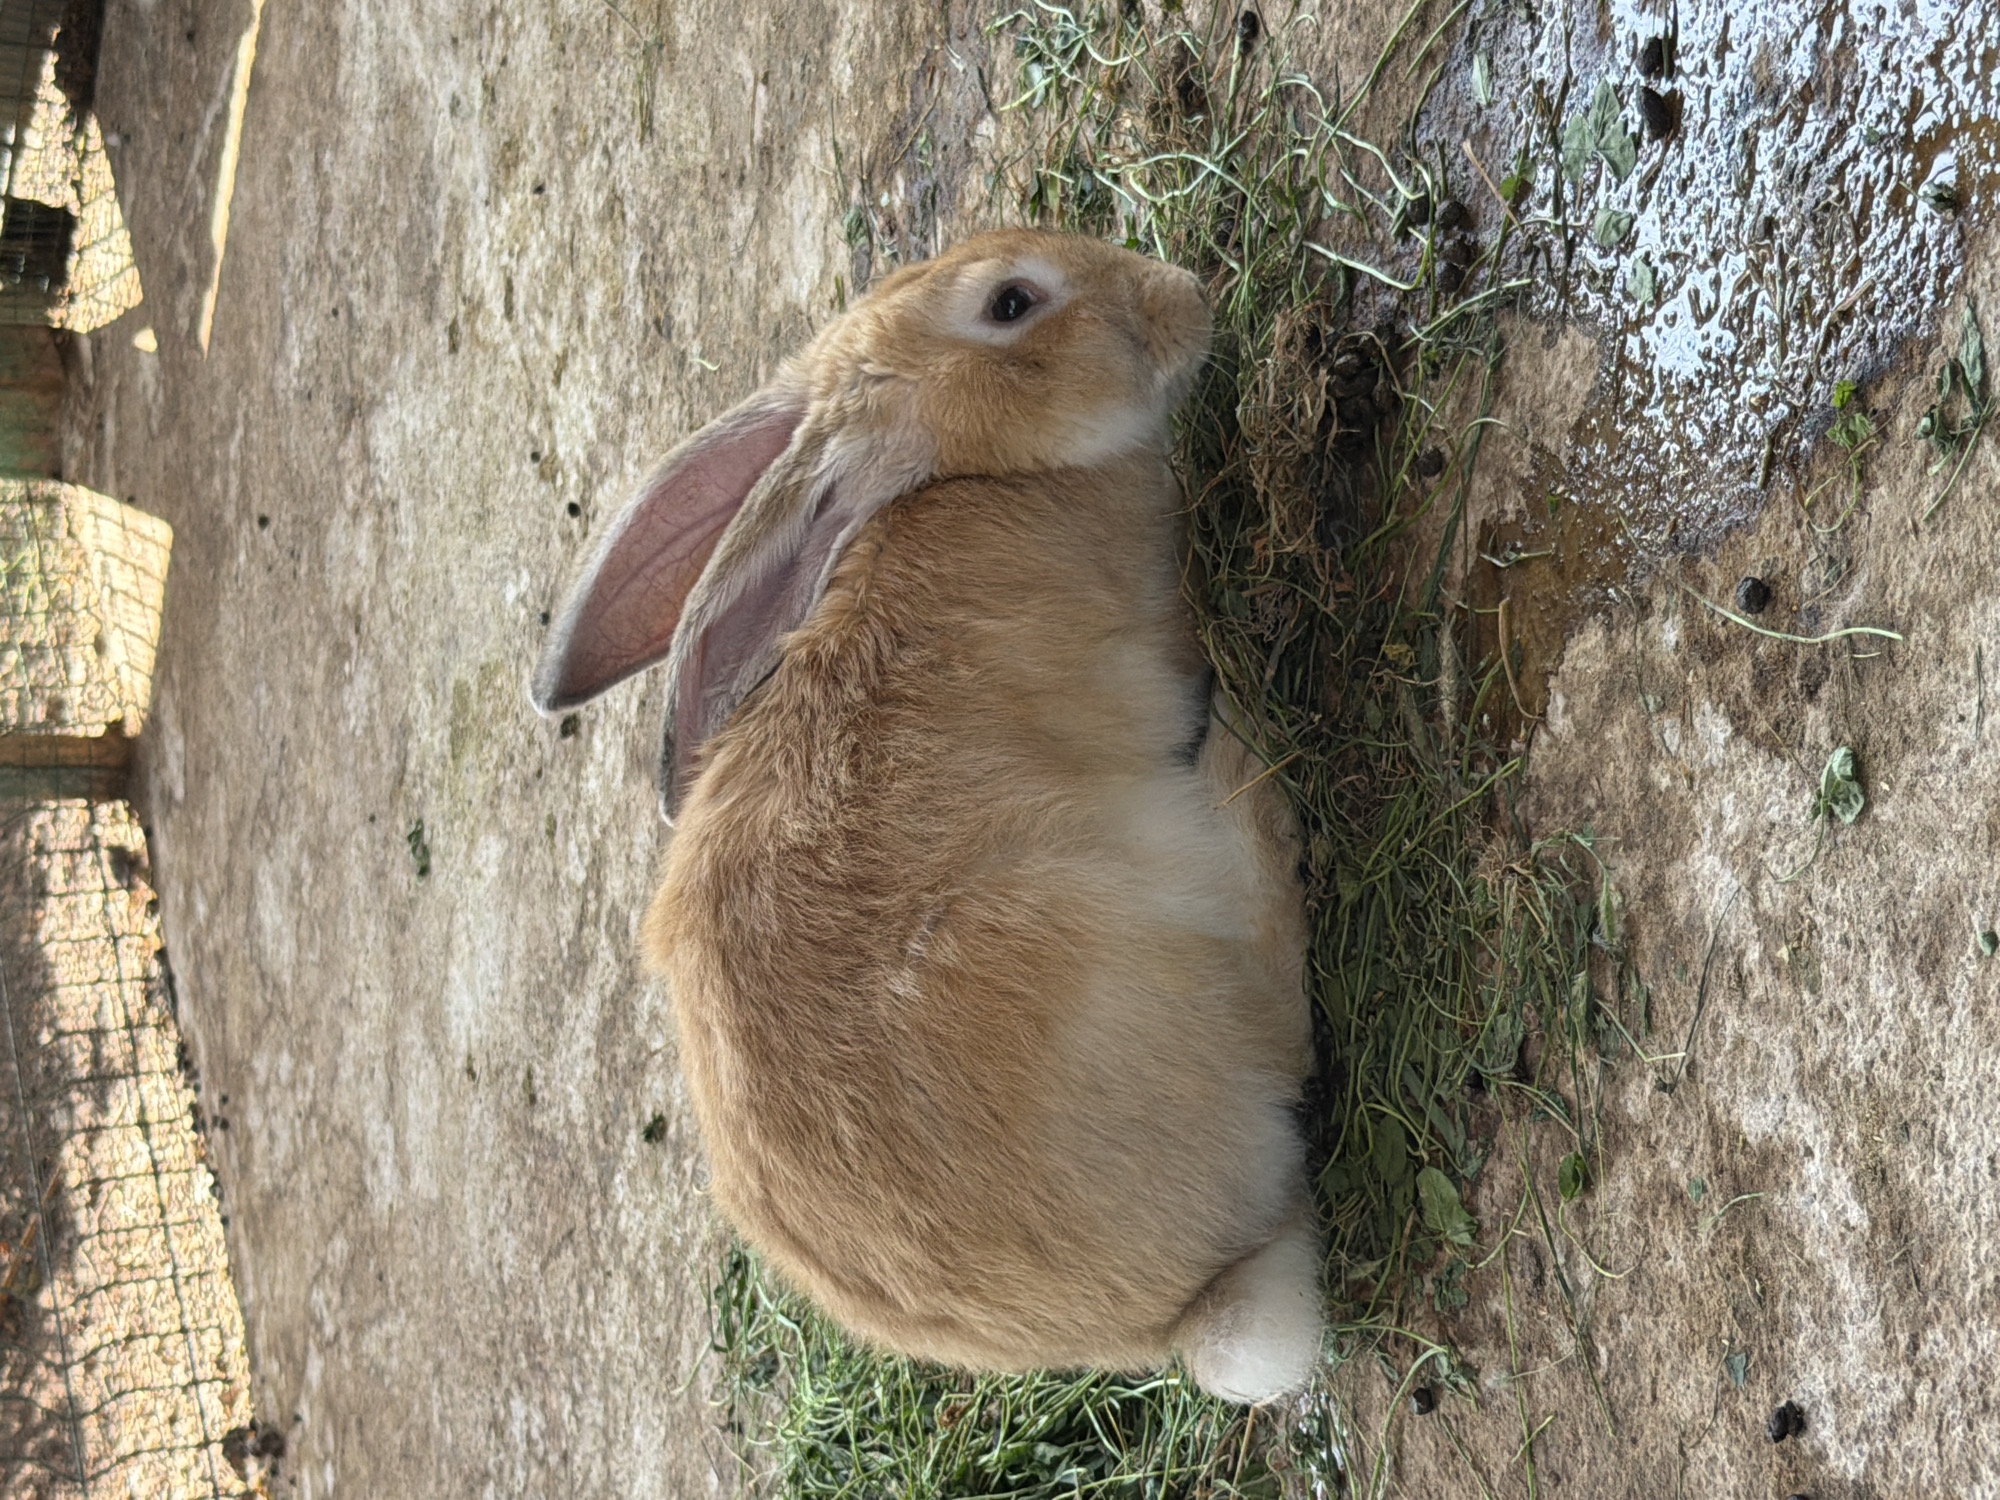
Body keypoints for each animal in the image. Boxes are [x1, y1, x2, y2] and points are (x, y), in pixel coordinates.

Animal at [531, 228, 1323, 1403]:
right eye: (1011, 303)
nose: (1182, 293)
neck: (982, 476)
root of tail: (1187, 1309)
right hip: (1076, 926)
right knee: (1287, 1025)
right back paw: (1250, 763)